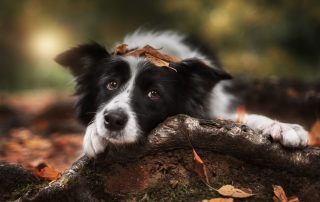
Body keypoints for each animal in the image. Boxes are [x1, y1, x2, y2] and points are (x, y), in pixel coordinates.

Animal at [54, 30, 308, 157]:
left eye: (154, 93)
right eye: (111, 84)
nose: (113, 120)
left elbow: (244, 117)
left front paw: (284, 127)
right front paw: (94, 134)